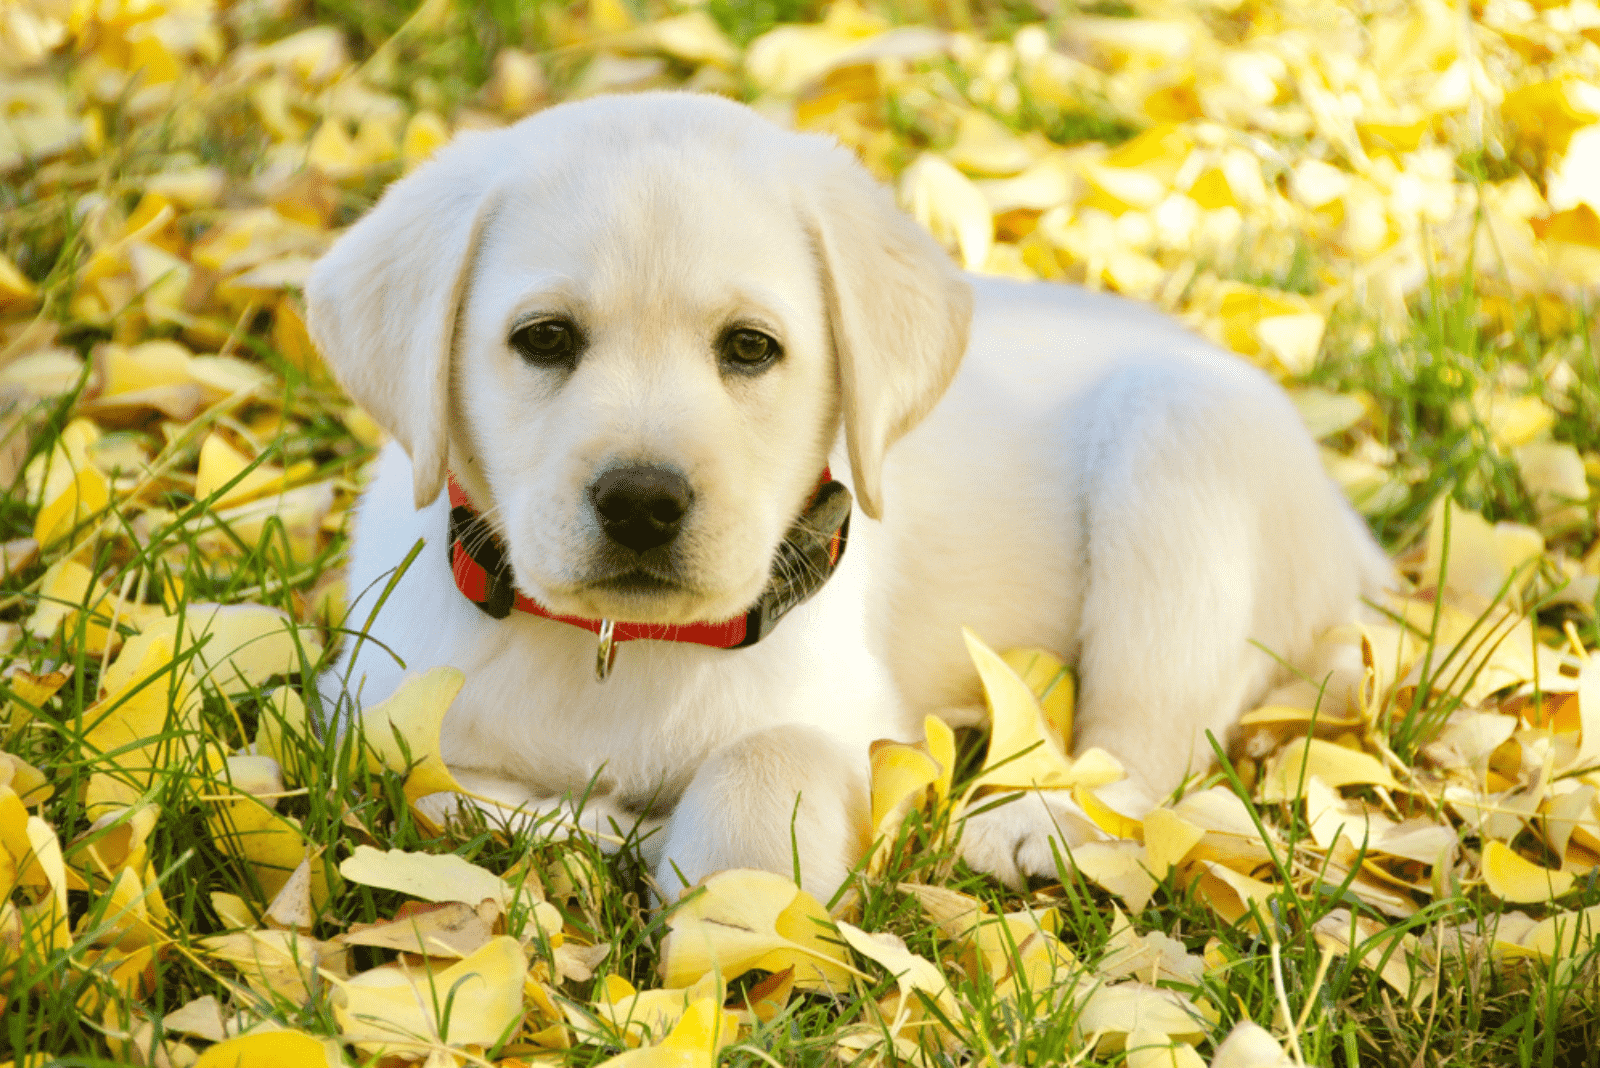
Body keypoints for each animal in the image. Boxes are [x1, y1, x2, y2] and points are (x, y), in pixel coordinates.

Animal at [305, 91, 1395, 895]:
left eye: (750, 348)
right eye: (543, 340)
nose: (642, 504)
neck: (624, 648)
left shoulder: (862, 718)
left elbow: (763, 769)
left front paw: (734, 906)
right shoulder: (366, 713)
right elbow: (437, 788)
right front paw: (606, 826)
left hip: (1184, 444)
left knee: (1145, 749)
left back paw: (1035, 820)